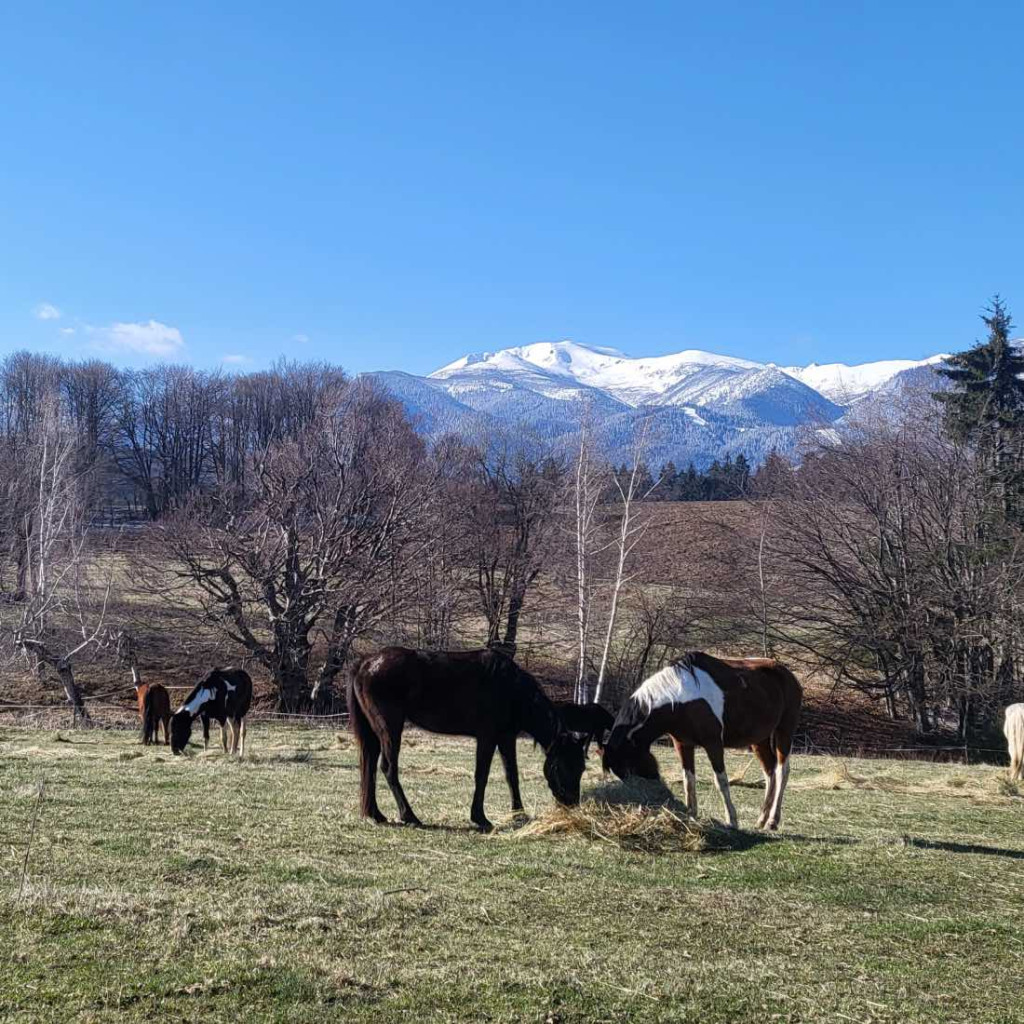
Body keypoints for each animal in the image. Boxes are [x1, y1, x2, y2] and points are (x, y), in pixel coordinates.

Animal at [348, 647, 585, 831]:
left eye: (581, 767)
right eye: (563, 765)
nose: (572, 805)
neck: (511, 689)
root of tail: (365, 662)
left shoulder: (507, 738)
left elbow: (512, 776)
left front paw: (519, 815)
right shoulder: (487, 737)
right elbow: (482, 775)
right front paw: (480, 818)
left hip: (374, 732)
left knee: (369, 766)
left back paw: (375, 814)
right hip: (390, 729)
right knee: (388, 768)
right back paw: (410, 816)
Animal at [602, 655, 802, 831]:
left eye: (628, 762)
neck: (680, 698)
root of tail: (788, 675)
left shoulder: (713, 744)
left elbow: (721, 781)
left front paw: (732, 820)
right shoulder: (682, 744)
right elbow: (688, 780)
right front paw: (691, 815)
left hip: (784, 731)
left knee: (782, 771)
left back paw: (772, 821)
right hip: (759, 740)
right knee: (769, 773)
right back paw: (762, 819)